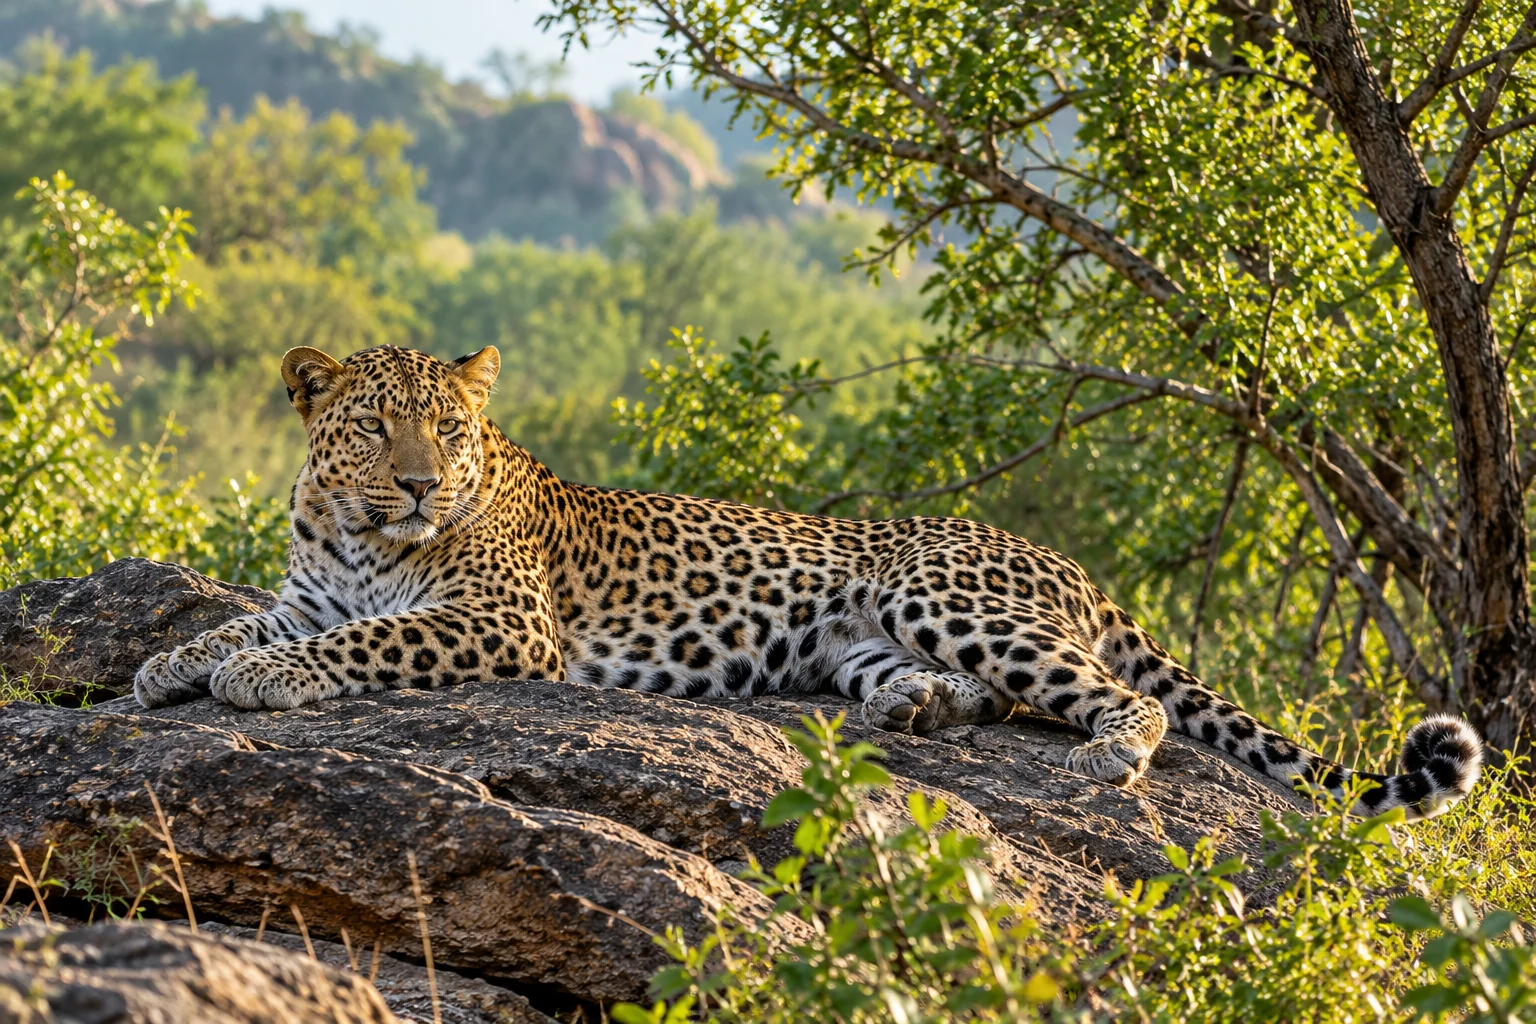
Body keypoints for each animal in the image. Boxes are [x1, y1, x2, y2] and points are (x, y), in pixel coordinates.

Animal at [134, 344, 1484, 821]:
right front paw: (165, 663)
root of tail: (1067, 562)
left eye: (451, 433)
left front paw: (263, 681)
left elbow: (351, 646)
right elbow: (246, 622)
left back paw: (1110, 755)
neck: (363, 535)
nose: (420, 486)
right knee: (984, 692)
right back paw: (913, 708)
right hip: (865, 632)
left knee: (1113, 692)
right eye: (375, 429)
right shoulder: (311, 588)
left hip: (952, 597)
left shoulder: (499, 618)